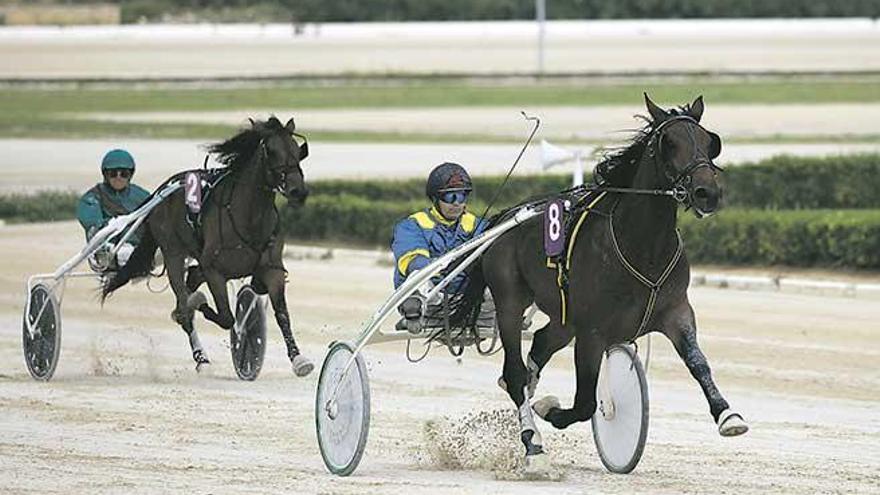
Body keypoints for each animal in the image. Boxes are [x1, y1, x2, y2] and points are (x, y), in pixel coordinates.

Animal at [101, 118, 314, 378]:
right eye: (271, 151)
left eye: (297, 149)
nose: (298, 191)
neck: (247, 215)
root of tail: (162, 190)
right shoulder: (215, 272)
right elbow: (226, 318)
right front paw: (197, 303)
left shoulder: (271, 268)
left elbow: (282, 314)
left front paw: (299, 359)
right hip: (173, 252)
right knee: (184, 301)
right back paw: (200, 354)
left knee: (193, 276)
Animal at [454, 95, 748, 470]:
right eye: (669, 143)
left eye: (710, 141)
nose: (706, 192)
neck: (643, 245)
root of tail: (505, 217)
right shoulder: (592, 332)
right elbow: (585, 403)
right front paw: (550, 411)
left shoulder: (677, 311)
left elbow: (699, 363)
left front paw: (727, 415)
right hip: (510, 302)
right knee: (517, 372)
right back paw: (533, 441)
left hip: (564, 316)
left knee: (540, 343)